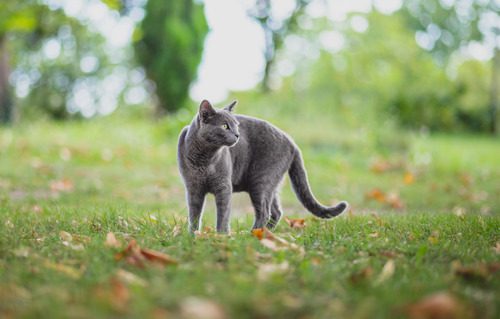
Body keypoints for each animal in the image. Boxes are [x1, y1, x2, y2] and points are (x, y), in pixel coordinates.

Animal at [179, 99, 348, 234]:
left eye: (237, 126)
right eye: (225, 126)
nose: (237, 135)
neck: (204, 159)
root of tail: (291, 141)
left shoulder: (223, 186)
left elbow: (223, 214)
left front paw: (221, 236)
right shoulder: (192, 188)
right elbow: (194, 214)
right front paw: (193, 236)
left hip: (261, 180)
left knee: (265, 212)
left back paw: (252, 235)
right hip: (271, 184)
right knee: (276, 211)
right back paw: (265, 233)